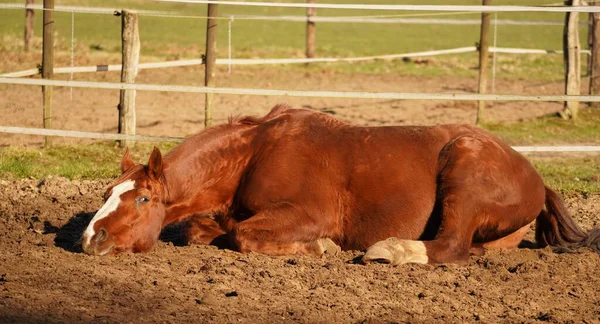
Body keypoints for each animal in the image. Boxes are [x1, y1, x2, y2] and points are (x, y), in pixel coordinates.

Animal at [81, 105, 600, 264]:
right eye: (107, 194)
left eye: (143, 197)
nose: (90, 237)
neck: (254, 152)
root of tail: (537, 179)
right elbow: (201, 229)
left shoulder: (307, 213)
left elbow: (244, 235)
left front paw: (321, 247)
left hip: (463, 165)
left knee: (450, 246)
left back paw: (390, 250)